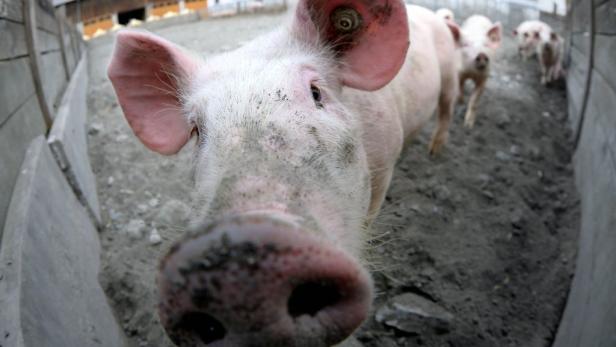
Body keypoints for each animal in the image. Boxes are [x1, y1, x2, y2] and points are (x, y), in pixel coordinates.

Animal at [107, 1, 462, 346]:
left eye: (317, 93)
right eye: (196, 131)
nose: (236, 254)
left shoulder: (384, 165)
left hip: (450, 72)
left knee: (447, 105)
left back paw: (435, 151)